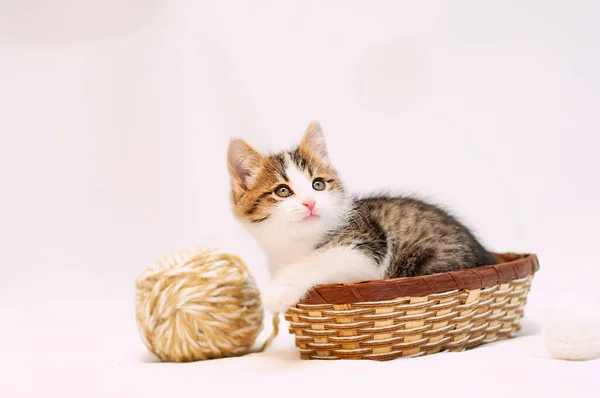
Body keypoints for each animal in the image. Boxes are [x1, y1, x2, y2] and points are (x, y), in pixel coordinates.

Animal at [226, 121, 496, 314]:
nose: (310, 202)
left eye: (318, 184)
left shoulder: (367, 247)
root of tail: (485, 257)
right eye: (282, 191)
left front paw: (277, 294)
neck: (297, 243)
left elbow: (321, 259)